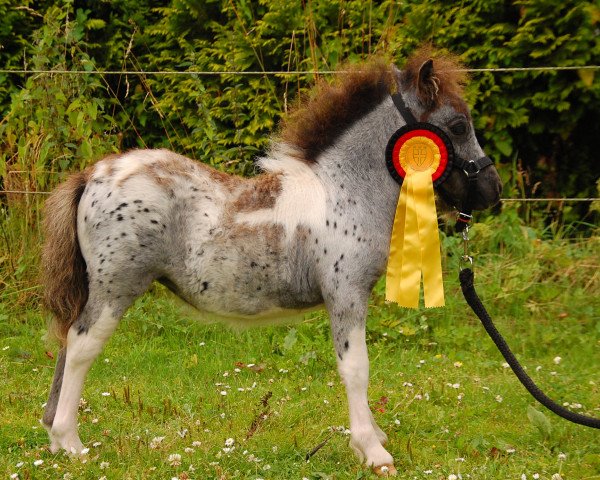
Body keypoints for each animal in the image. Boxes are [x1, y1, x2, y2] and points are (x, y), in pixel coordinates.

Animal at [41, 49, 502, 476]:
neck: (344, 192)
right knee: (81, 345)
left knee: (67, 342)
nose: (492, 192)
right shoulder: (346, 293)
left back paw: (54, 439)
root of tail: (91, 176)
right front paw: (373, 452)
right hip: (116, 287)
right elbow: (356, 368)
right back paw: (71, 443)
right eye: (458, 125)